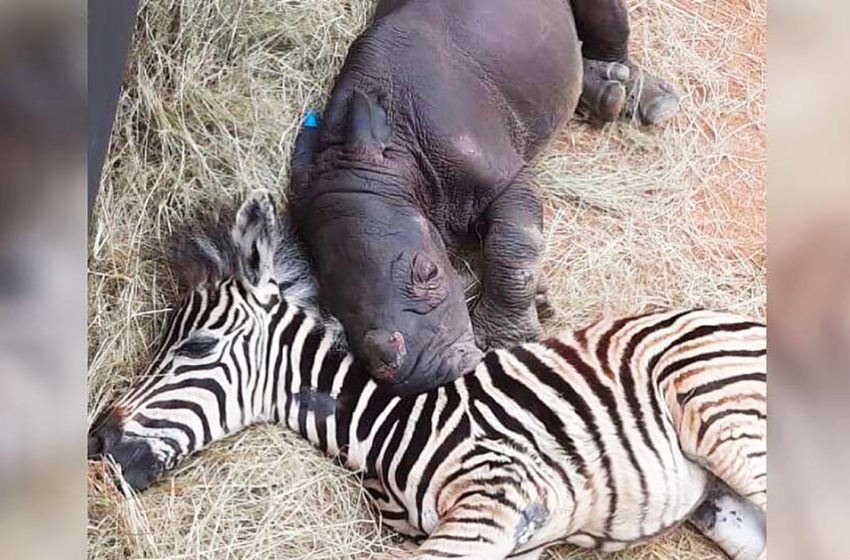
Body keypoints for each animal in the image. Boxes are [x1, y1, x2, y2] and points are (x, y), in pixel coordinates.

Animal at [89, 190, 764, 556]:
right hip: (722, 504)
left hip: (726, 421)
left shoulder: (499, 496)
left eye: (197, 346)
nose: (96, 442)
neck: (387, 428)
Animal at [288, 0, 680, 394]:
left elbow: (513, 250)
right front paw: (539, 300)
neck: (395, 158)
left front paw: (505, 341)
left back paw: (643, 98)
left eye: (429, 273)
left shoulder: (504, 178)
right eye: (332, 308)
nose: (423, 375)